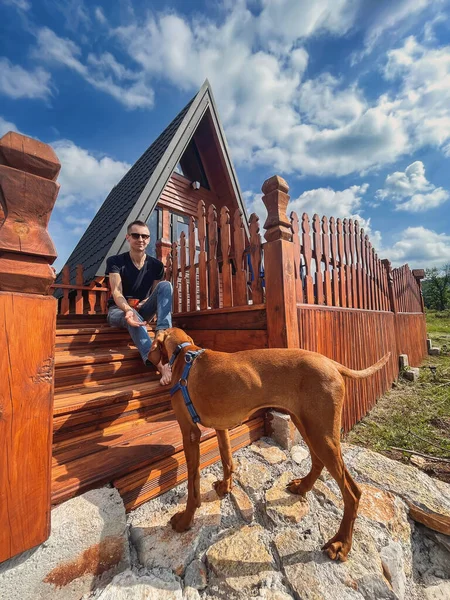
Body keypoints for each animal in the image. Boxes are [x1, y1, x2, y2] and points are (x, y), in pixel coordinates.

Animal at [149, 328, 388, 564]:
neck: (184, 351)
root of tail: (330, 362)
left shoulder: (190, 433)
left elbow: (193, 485)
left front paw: (185, 520)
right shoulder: (221, 426)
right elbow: (227, 460)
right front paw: (225, 487)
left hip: (321, 434)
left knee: (352, 493)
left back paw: (341, 543)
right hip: (307, 425)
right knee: (318, 462)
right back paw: (302, 487)